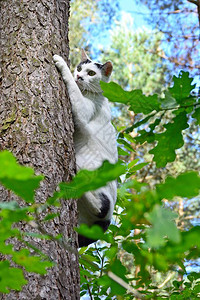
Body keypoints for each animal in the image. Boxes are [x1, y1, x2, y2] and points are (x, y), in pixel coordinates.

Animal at [53, 49, 119, 246]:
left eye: (91, 73)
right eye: (80, 68)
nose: (79, 76)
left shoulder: (83, 110)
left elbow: (73, 90)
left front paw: (61, 62)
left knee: (100, 207)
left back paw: (76, 174)